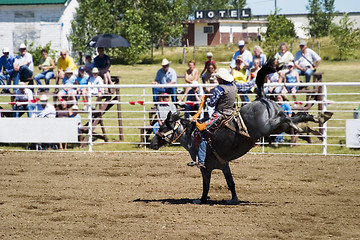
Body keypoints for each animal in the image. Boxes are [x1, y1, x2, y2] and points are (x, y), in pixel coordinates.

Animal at [149, 59, 330, 204]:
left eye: (163, 127)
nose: (152, 143)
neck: (193, 135)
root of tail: (262, 98)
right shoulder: (224, 164)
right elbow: (231, 182)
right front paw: (234, 199)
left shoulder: (205, 168)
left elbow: (206, 185)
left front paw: (201, 200)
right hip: (277, 127)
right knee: (296, 117)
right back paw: (317, 119)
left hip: (269, 126)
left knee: (288, 119)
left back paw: (306, 124)